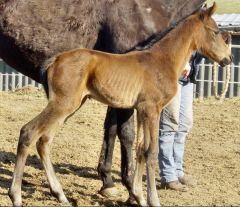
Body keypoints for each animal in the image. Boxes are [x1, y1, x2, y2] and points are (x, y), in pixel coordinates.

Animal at [8, 2, 232, 206]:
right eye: (215, 32)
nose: (228, 59)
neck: (162, 60)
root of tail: (55, 59)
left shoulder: (141, 110)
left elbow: (141, 149)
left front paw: (139, 196)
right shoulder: (152, 109)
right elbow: (151, 152)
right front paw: (153, 200)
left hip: (70, 107)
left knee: (44, 141)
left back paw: (60, 194)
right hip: (63, 104)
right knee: (29, 132)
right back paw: (16, 195)